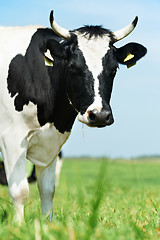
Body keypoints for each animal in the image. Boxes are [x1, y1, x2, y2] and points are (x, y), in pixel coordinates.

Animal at [0, 10, 147, 222]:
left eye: (114, 69)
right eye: (72, 67)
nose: (99, 115)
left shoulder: (52, 140)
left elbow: (48, 189)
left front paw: (49, 223)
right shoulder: (11, 137)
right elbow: (19, 191)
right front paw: (18, 225)